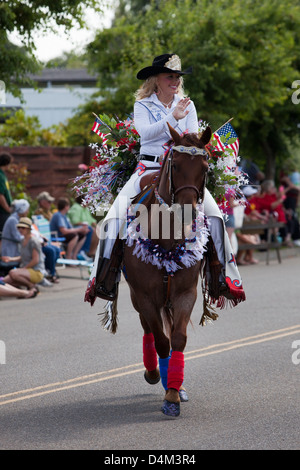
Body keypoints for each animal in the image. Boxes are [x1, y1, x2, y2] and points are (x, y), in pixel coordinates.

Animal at [119, 123, 211, 416]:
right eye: (175, 164)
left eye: (205, 167)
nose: (187, 211)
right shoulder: (145, 296)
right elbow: (161, 341)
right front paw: (164, 383)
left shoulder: (185, 294)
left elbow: (178, 339)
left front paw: (173, 393)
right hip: (137, 297)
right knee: (147, 328)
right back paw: (153, 372)